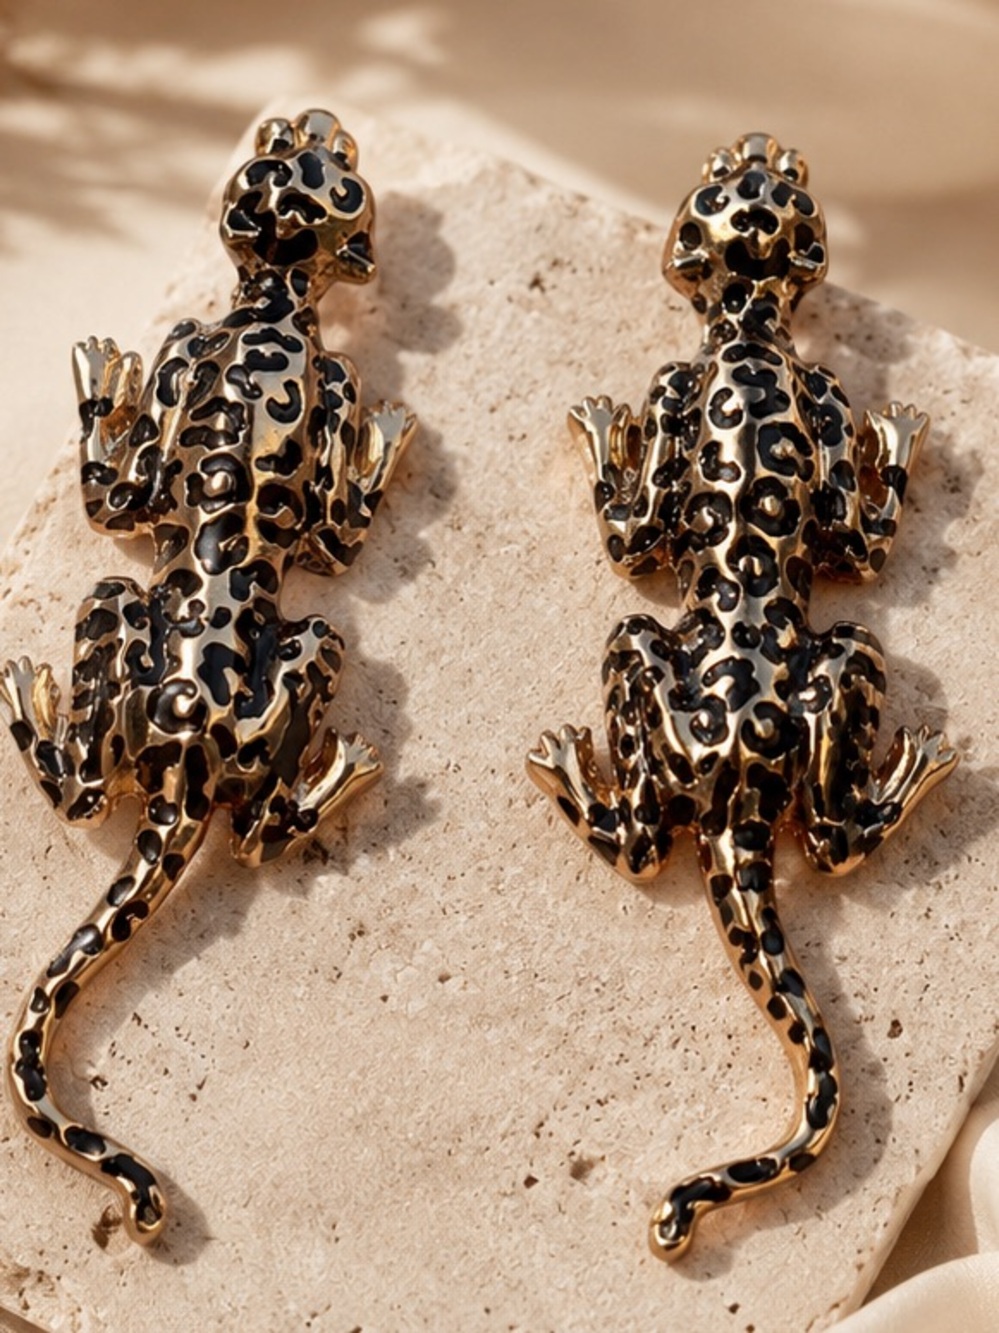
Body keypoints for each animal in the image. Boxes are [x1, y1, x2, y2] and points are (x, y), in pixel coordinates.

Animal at [0, 109, 415, 1244]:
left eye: (333, 174)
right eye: (290, 152)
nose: (321, 120)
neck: (268, 310)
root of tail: (185, 752)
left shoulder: (218, 352)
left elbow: (129, 507)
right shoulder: (270, 361)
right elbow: (322, 535)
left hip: (173, 641)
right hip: (270, 650)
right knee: (240, 820)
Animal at [527, 132, 957, 1260]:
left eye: (776, 193)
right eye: (727, 191)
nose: (767, 148)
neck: (753, 336)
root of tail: (736, 777)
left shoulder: (724, 383)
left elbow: (640, 540)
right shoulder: (777, 387)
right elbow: (850, 539)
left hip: (704, 664)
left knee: (680, 834)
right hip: (789, 668)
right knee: (787, 830)